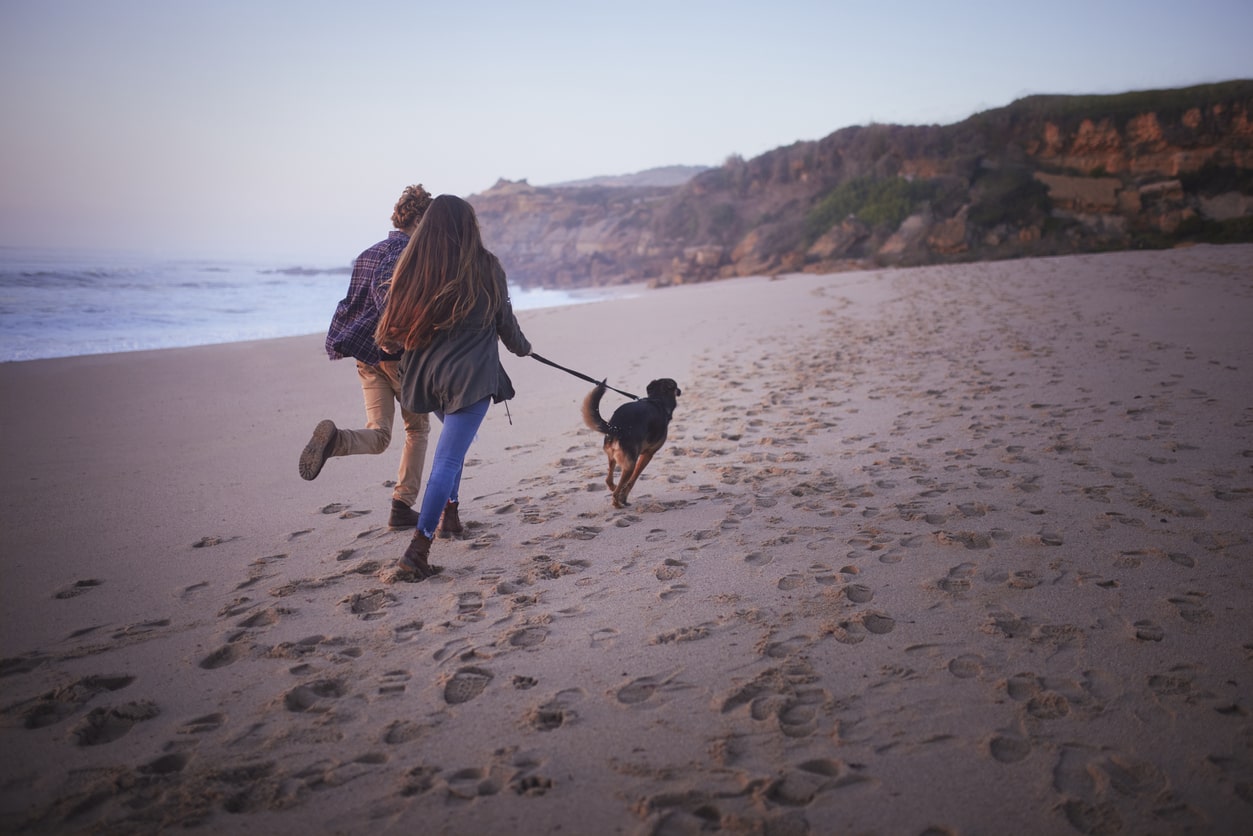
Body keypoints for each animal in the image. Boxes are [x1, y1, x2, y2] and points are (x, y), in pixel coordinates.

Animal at [581, 378, 681, 511]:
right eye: (675, 386)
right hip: (630, 465)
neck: (658, 399)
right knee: (617, 490)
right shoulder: (647, 455)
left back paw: (616, 490)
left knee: (608, 480)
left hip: (612, 457)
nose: (679, 391)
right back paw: (617, 503)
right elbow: (633, 480)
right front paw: (624, 497)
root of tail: (616, 428)